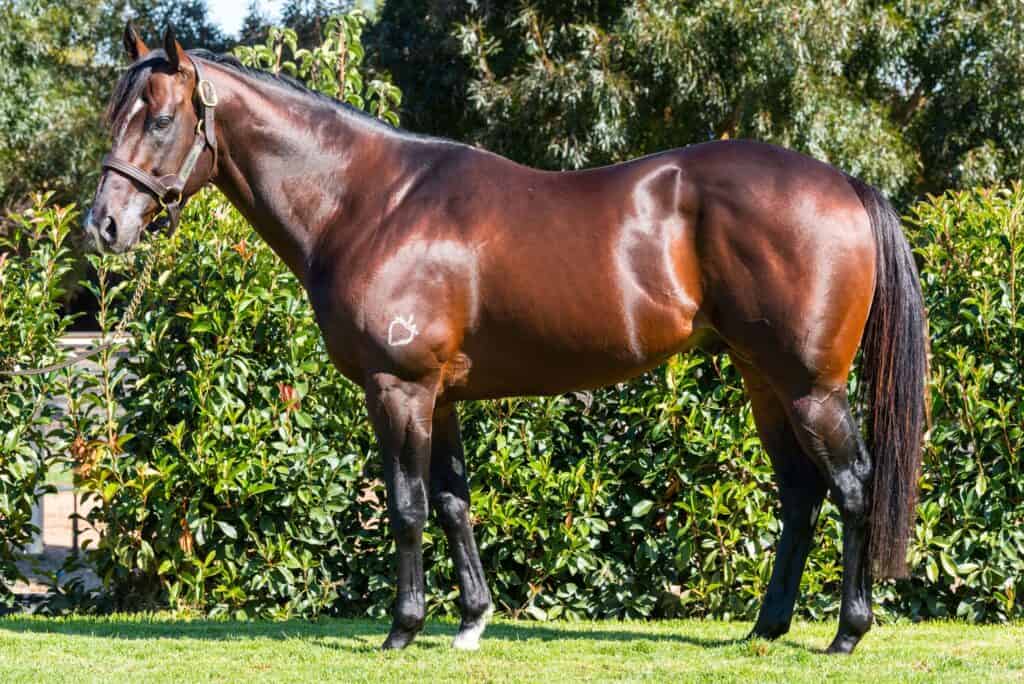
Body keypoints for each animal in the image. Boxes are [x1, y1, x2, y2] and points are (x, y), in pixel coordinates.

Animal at [86, 24, 928, 655]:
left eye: (159, 119)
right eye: (113, 114)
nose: (104, 226)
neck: (370, 202)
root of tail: (845, 185)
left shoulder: (398, 388)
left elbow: (406, 506)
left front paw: (403, 628)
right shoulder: (441, 395)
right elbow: (453, 502)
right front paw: (471, 620)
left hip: (811, 387)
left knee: (853, 485)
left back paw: (847, 633)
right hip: (764, 380)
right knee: (801, 493)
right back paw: (766, 627)